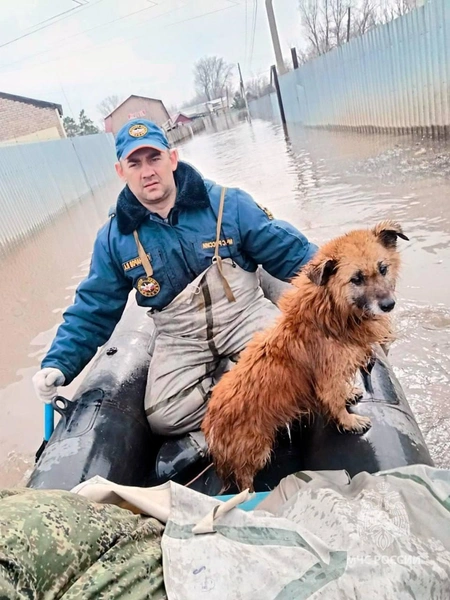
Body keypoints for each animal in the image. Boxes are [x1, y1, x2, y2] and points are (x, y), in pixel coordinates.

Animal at [202, 223, 410, 490]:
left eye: (383, 268)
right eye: (356, 279)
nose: (388, 304)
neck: (331, 315)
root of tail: (210, 423)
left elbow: (340, 394)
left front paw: (349, 394)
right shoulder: (328, 378)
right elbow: (335, 403)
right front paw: (351, 422)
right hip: (254, 450)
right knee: (244, 480)